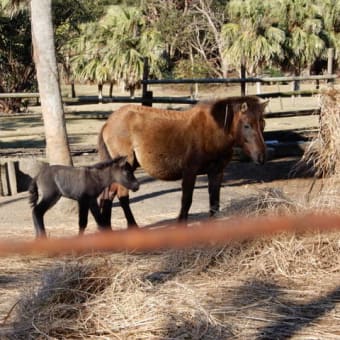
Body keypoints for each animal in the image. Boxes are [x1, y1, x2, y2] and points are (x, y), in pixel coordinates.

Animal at [97, 95, 266, 227]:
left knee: (108, 195)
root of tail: (108, 122)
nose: (262, 156)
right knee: (122, 196)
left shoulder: (217, 172)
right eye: (247, 125)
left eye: (262, 124)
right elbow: (186, 201)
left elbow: (214, 202)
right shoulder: (190, 172)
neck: (212, 131)